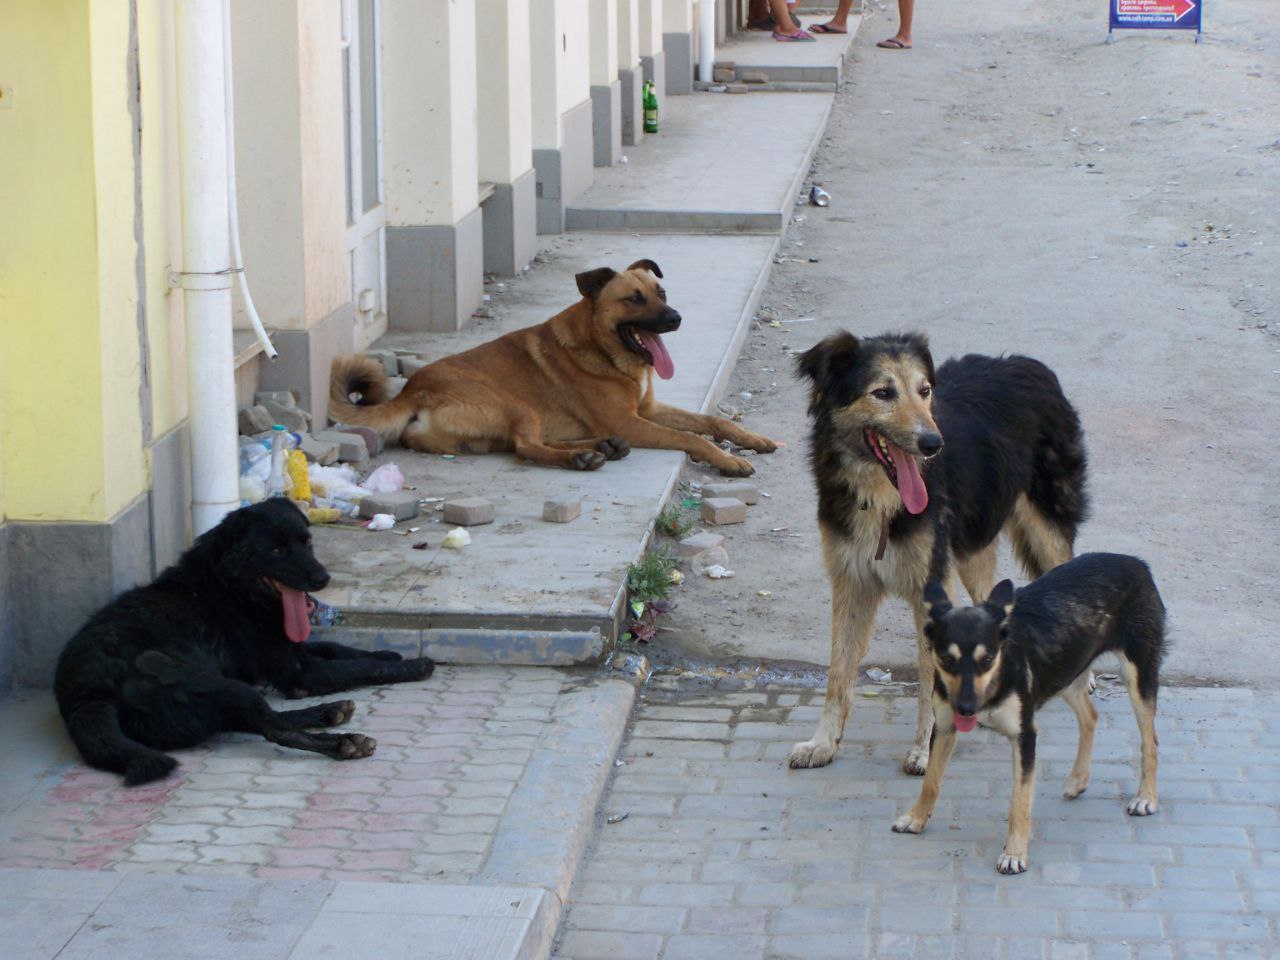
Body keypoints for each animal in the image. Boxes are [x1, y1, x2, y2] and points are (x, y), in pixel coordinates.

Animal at [53, 499, 435, 783]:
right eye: (277, 550)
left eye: (307, 541)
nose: (323, 578)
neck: (230, 587)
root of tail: (90, 694)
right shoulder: (300, 670)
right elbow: (357, 667)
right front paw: (413, 665)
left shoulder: (286, 651)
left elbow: (337, 648)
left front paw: (386, 653)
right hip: (212, 682)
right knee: (273, 728)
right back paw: (342, 742)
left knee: (257, 719)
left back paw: (330, 712)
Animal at [327, 259, 778, 478]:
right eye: (633, 299)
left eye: (660, 292)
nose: (676, 318)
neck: (601, 350)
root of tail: (412, 389)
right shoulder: (633, 421)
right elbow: (692, 438)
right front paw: (728, 460)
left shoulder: (645, 411)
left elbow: (712, 421)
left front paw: (752, 439)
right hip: (515, 404)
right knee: (527, 447)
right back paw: (585, 457)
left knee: (528, 443)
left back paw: (601, 447)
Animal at [783, 335, 1085, 778]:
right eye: (883, 393)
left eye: (924, 391)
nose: (933, 444)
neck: (880, 497)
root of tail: (1029, 364)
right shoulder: (851, 583)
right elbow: (838, 674)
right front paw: (823, 743)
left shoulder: (931, 587)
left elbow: (930, 681)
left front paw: (926, 750)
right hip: (972, 548)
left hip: (1046, 528)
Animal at [896, 552, 1167, 875]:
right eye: (948, 660)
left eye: (987, 659)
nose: (966, 708)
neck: (996, 680)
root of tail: (1136, 562)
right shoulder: (946, 727)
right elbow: (931, 781)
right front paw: (916, 818)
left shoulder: (1025, 736)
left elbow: (1019, 802)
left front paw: (1014, 853)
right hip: (1066, 672)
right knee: (1090, 717)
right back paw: (1078, 780)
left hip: (1137, 675)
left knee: (1150, 741)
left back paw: (1146, 797)